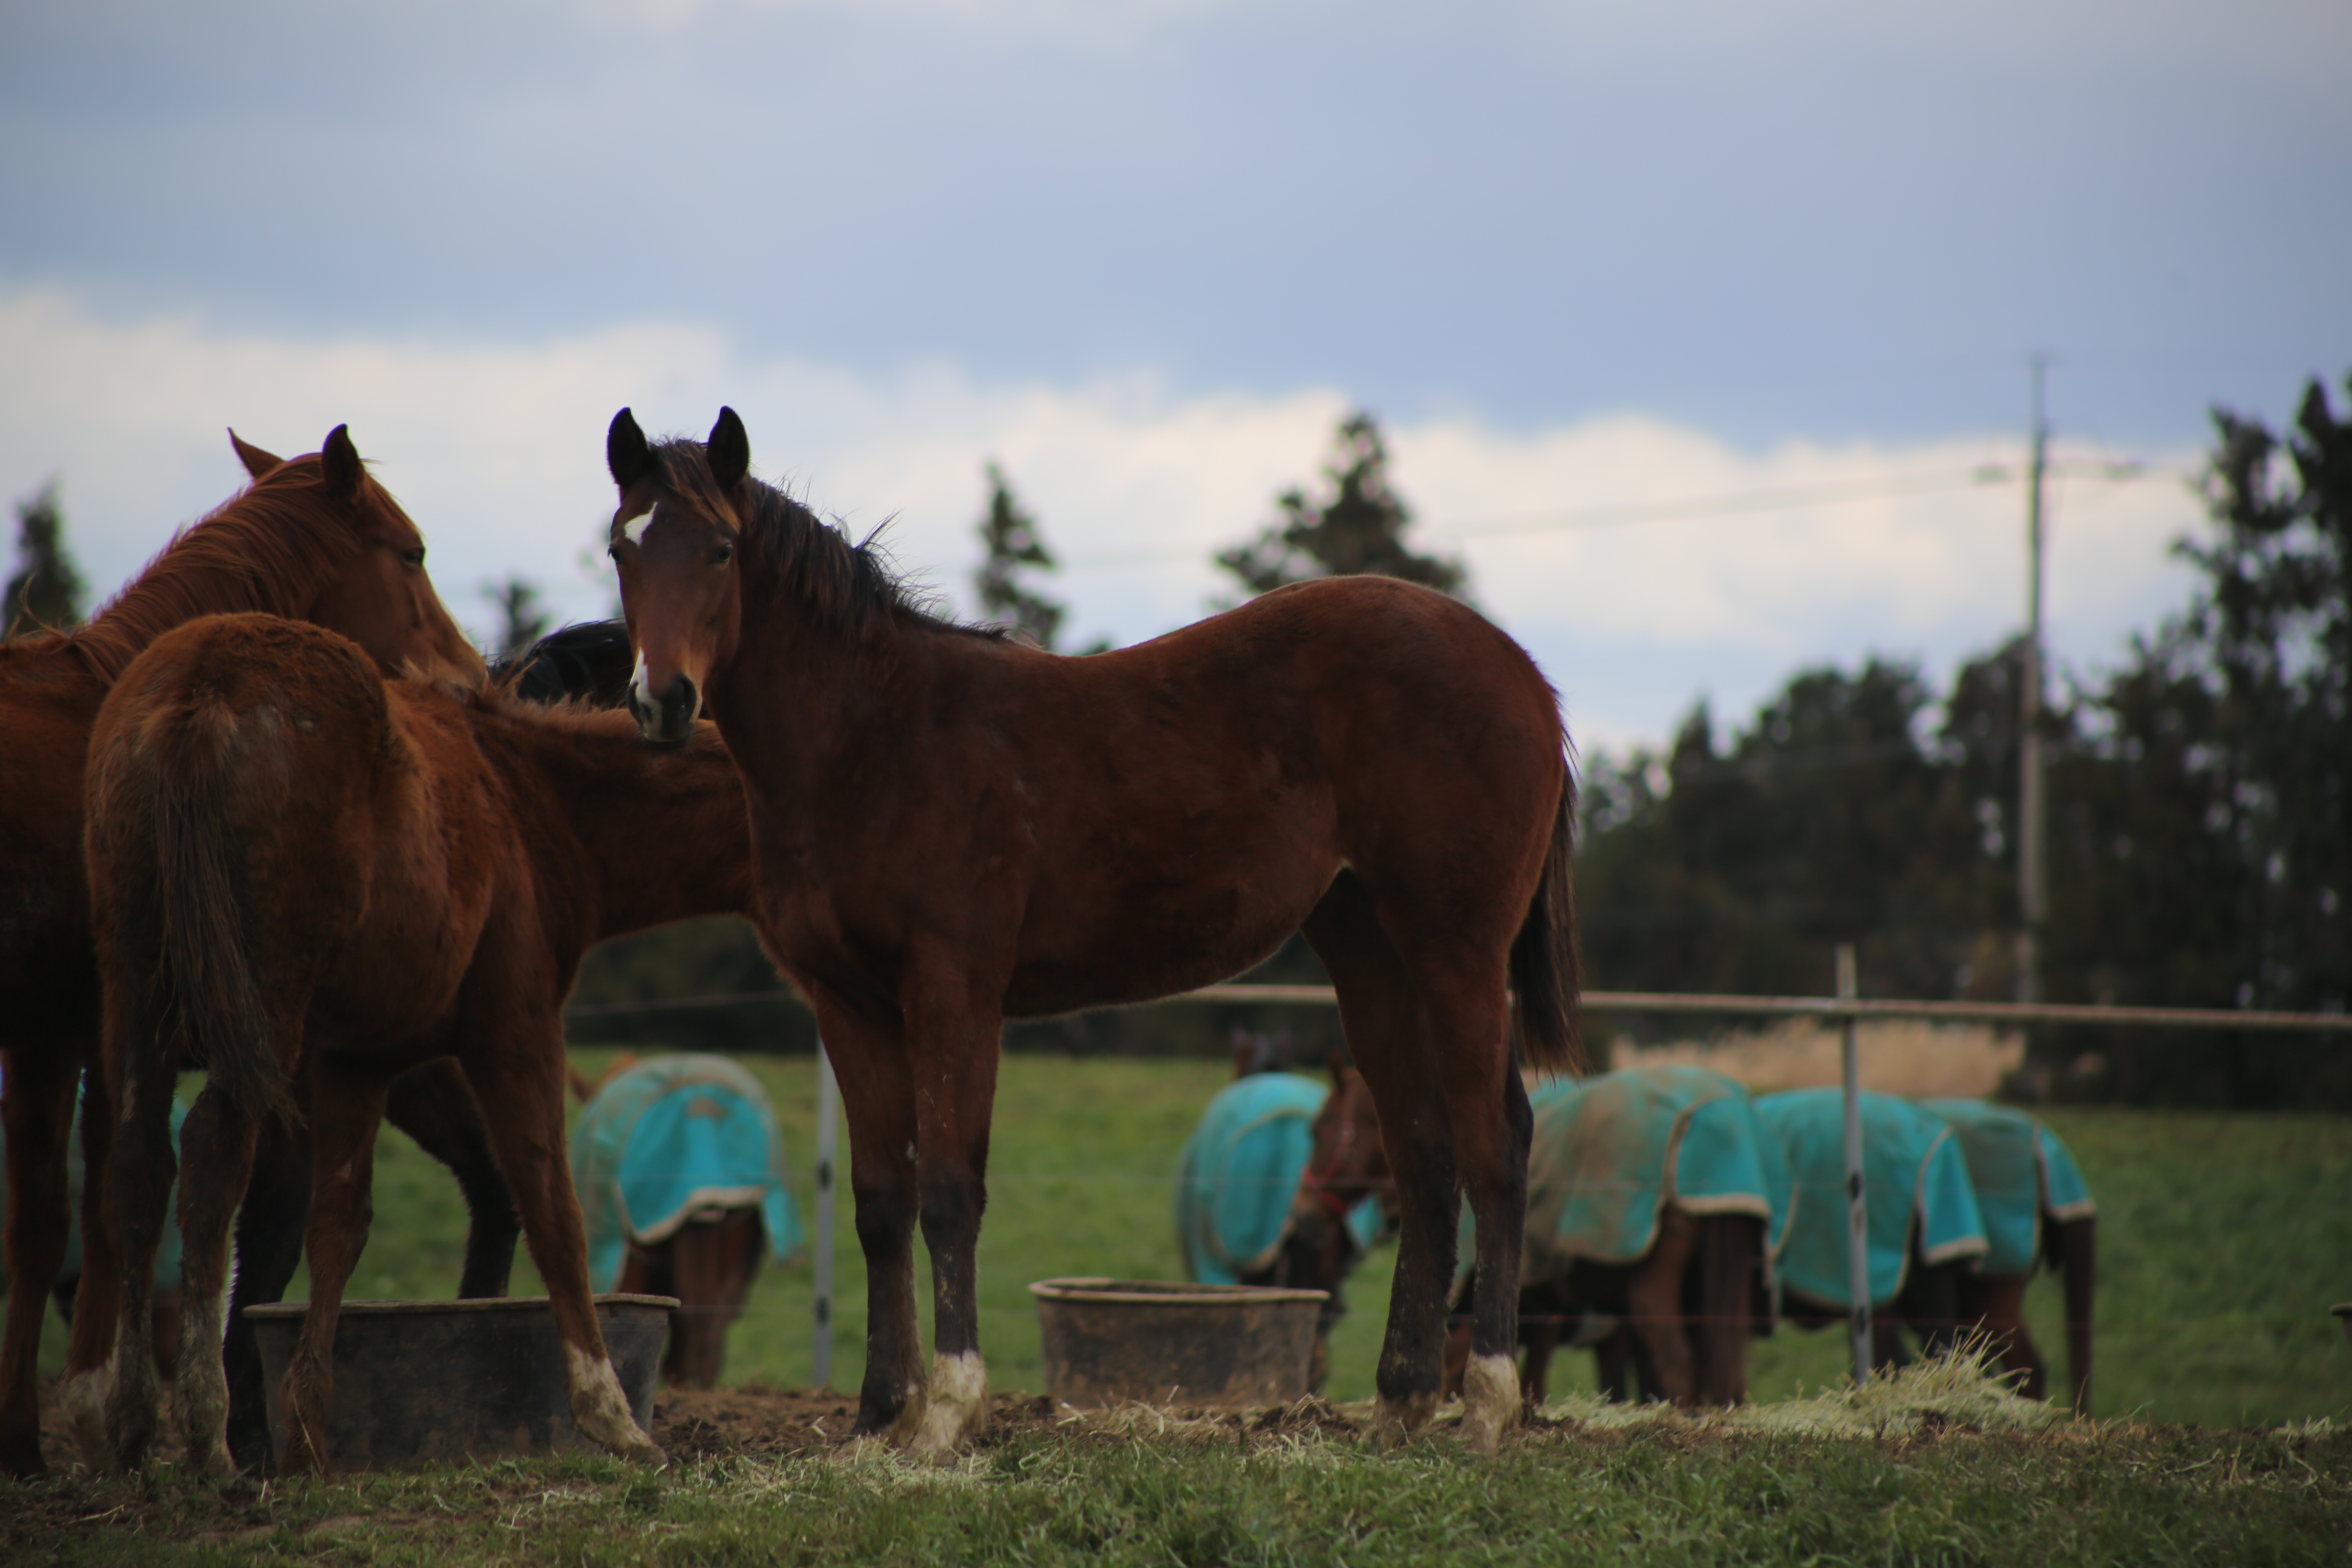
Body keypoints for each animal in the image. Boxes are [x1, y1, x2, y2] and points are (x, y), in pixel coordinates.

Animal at [0, 425, 482, 1476]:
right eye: (412, 553)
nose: (470, 678)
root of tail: (197, 702)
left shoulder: (81, 1025)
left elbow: (72, 1208)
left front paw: (57, 1428)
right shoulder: (79, 1031)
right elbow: (93, 1213)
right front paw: (94, 1411)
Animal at [87, 616, 748, 1486]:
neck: (528, 797)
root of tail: (203, 682)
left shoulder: (355, 1063)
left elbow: (339, 1226)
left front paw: (308, 1431)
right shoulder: (515, 1034)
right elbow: (551, 1206)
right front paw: (610, 1416)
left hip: (136, 997)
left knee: (137, 1168)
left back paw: (133, 1427)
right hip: (258, 1010)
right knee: (212, 1156)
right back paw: (205, 1434)